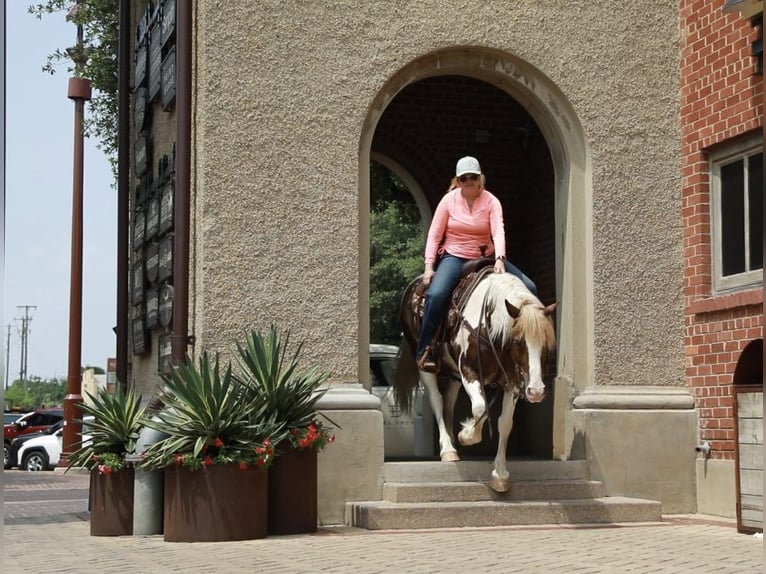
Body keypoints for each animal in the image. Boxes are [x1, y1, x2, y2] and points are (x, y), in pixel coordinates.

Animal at [396, 268, 560, 492]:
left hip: (454, 375)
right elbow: (481, 409)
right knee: (437, 401)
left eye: (546, 344)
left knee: (449, 402)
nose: (536, 392)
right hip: (424, 363)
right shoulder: (469, 371)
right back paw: (448, 449)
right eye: (518, 341)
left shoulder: (512, 383)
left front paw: (500, 474)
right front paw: (466, 435)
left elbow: (504, 423)